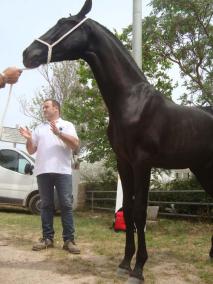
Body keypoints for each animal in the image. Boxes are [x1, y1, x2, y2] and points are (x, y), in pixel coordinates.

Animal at [22, 1, 212, 282]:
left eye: (64, 24)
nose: (27, 53)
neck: (132, 101)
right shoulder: (124, 161)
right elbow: (128, 210)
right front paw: (124, 263)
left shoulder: (143, 163)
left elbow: (140, 212)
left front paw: (139, 268)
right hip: (202, 169)